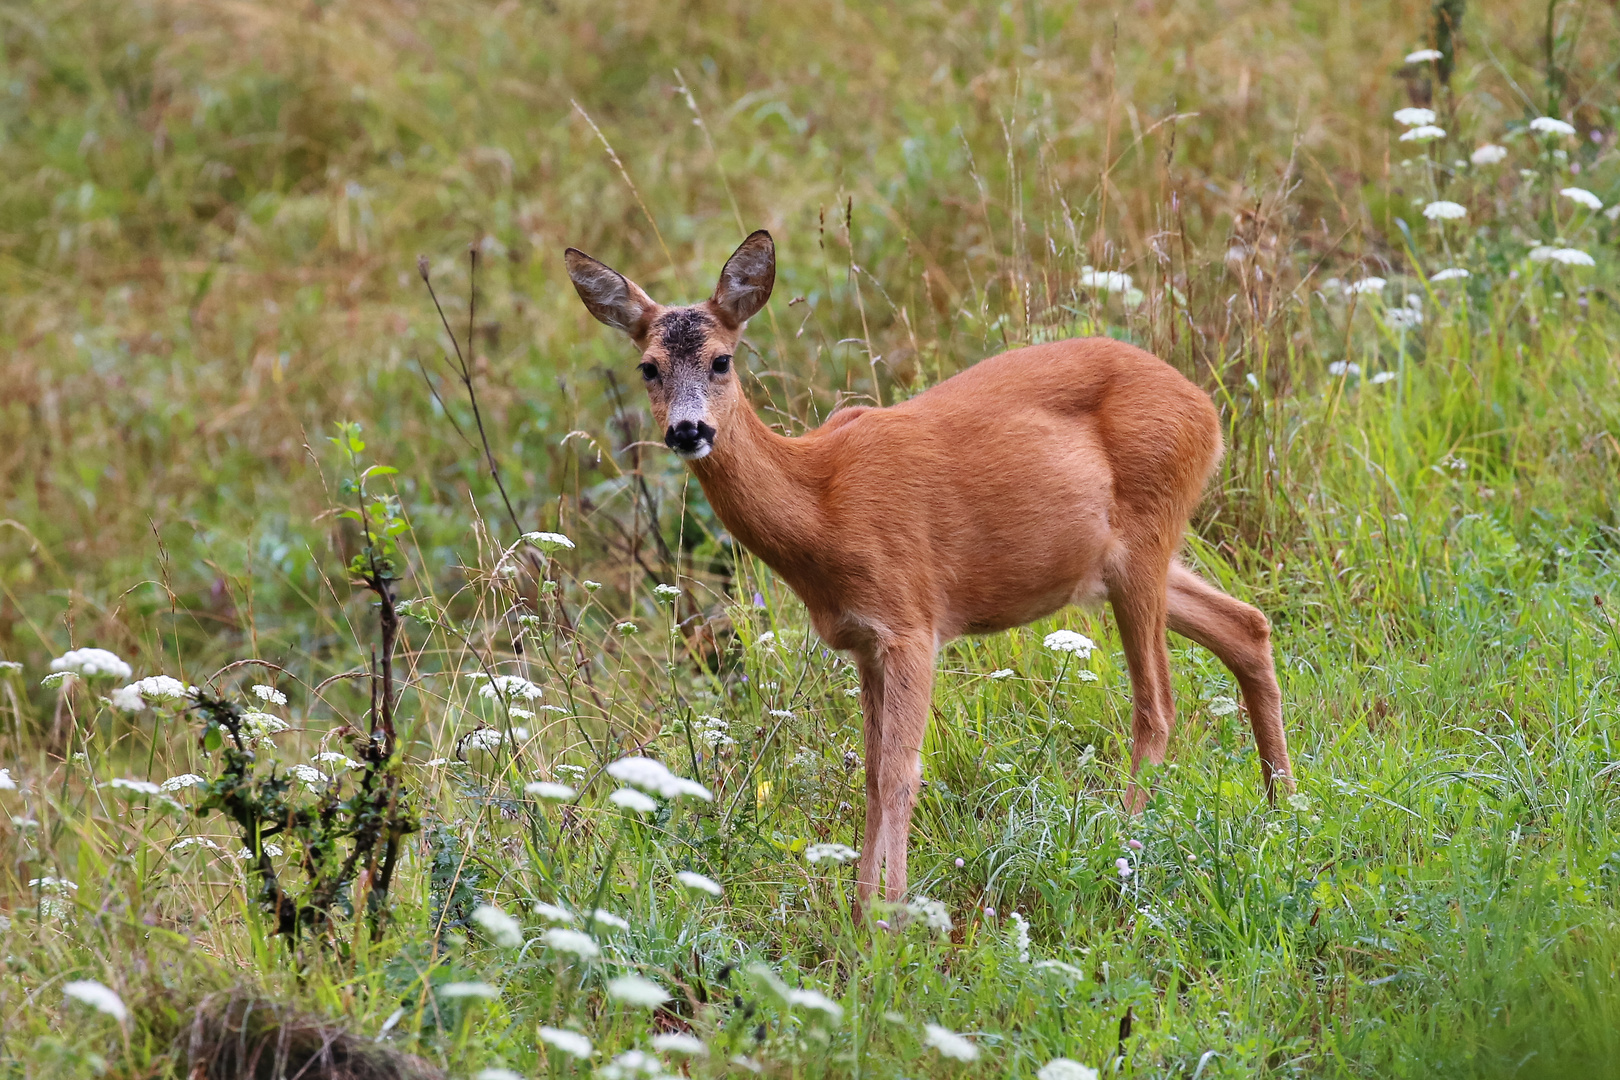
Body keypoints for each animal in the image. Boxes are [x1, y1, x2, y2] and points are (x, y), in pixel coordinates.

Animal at [563, 233, 1296, 906]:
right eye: (648, 368)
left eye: (722, 360)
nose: (687, 431)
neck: (821, 505)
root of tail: (1206, 409)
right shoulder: (863, 641)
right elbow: (870, 774)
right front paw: (862, 910)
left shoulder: (911, 620)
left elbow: (899, 774)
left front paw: (889, 919)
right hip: (1120, 562)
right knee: (1247, 624)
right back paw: (1281, 808)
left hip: (1145, 533)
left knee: (1158, 705)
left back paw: (1125, 844)